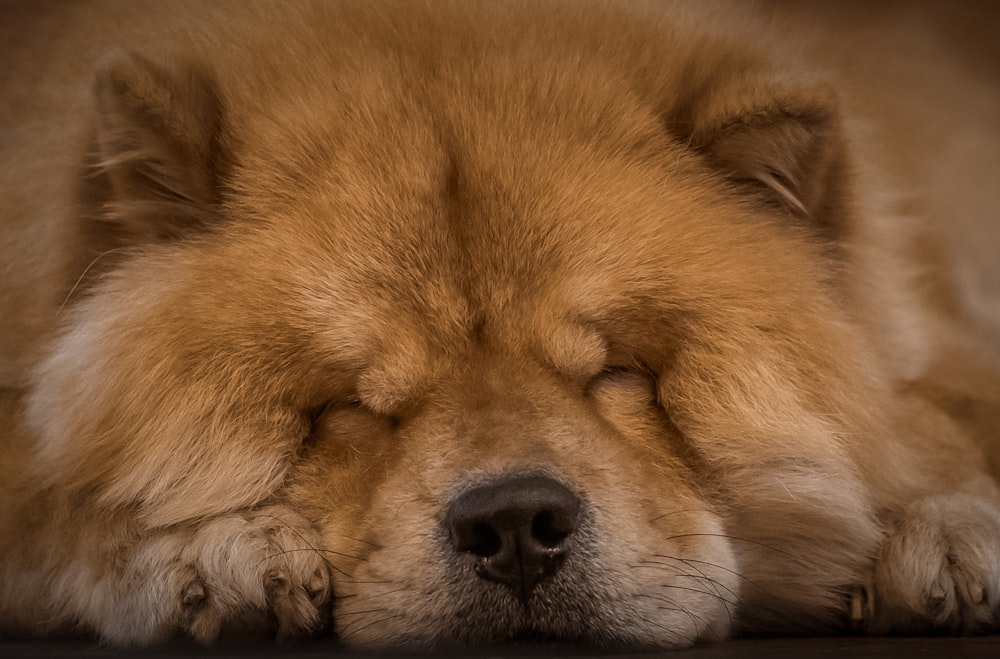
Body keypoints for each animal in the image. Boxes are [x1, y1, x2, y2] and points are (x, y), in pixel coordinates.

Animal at [1, 0, 1000, 648]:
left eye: (616, 373)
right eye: (353, 407)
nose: (516, 520)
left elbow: (928, 411)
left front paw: (939, 519)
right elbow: (51, 497)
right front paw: (216, 543)